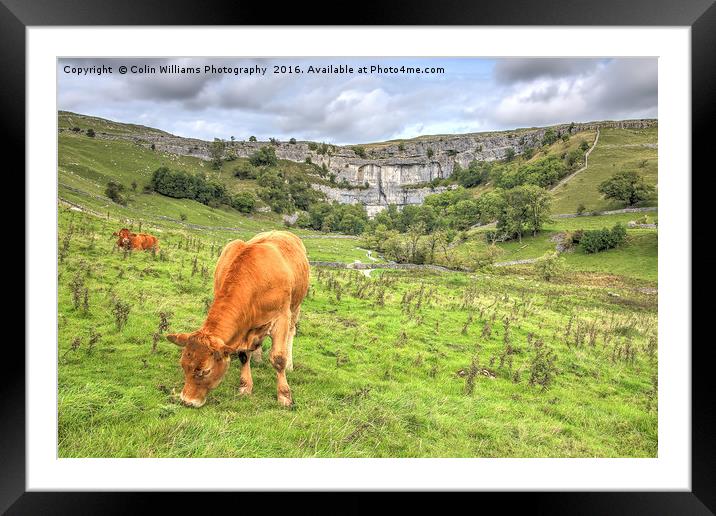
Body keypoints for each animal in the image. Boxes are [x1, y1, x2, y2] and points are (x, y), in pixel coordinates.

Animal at [169, 233, 312, 408]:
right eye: (183, 365)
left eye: (206, 371)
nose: (187, 401)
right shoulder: (244, 327)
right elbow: (244, 355)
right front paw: (245, 387)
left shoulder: (281, 317)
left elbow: (278, 358)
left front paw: (284, 396)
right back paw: (257, 357)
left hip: (296, 306)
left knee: (292, 332)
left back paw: (290, 364)